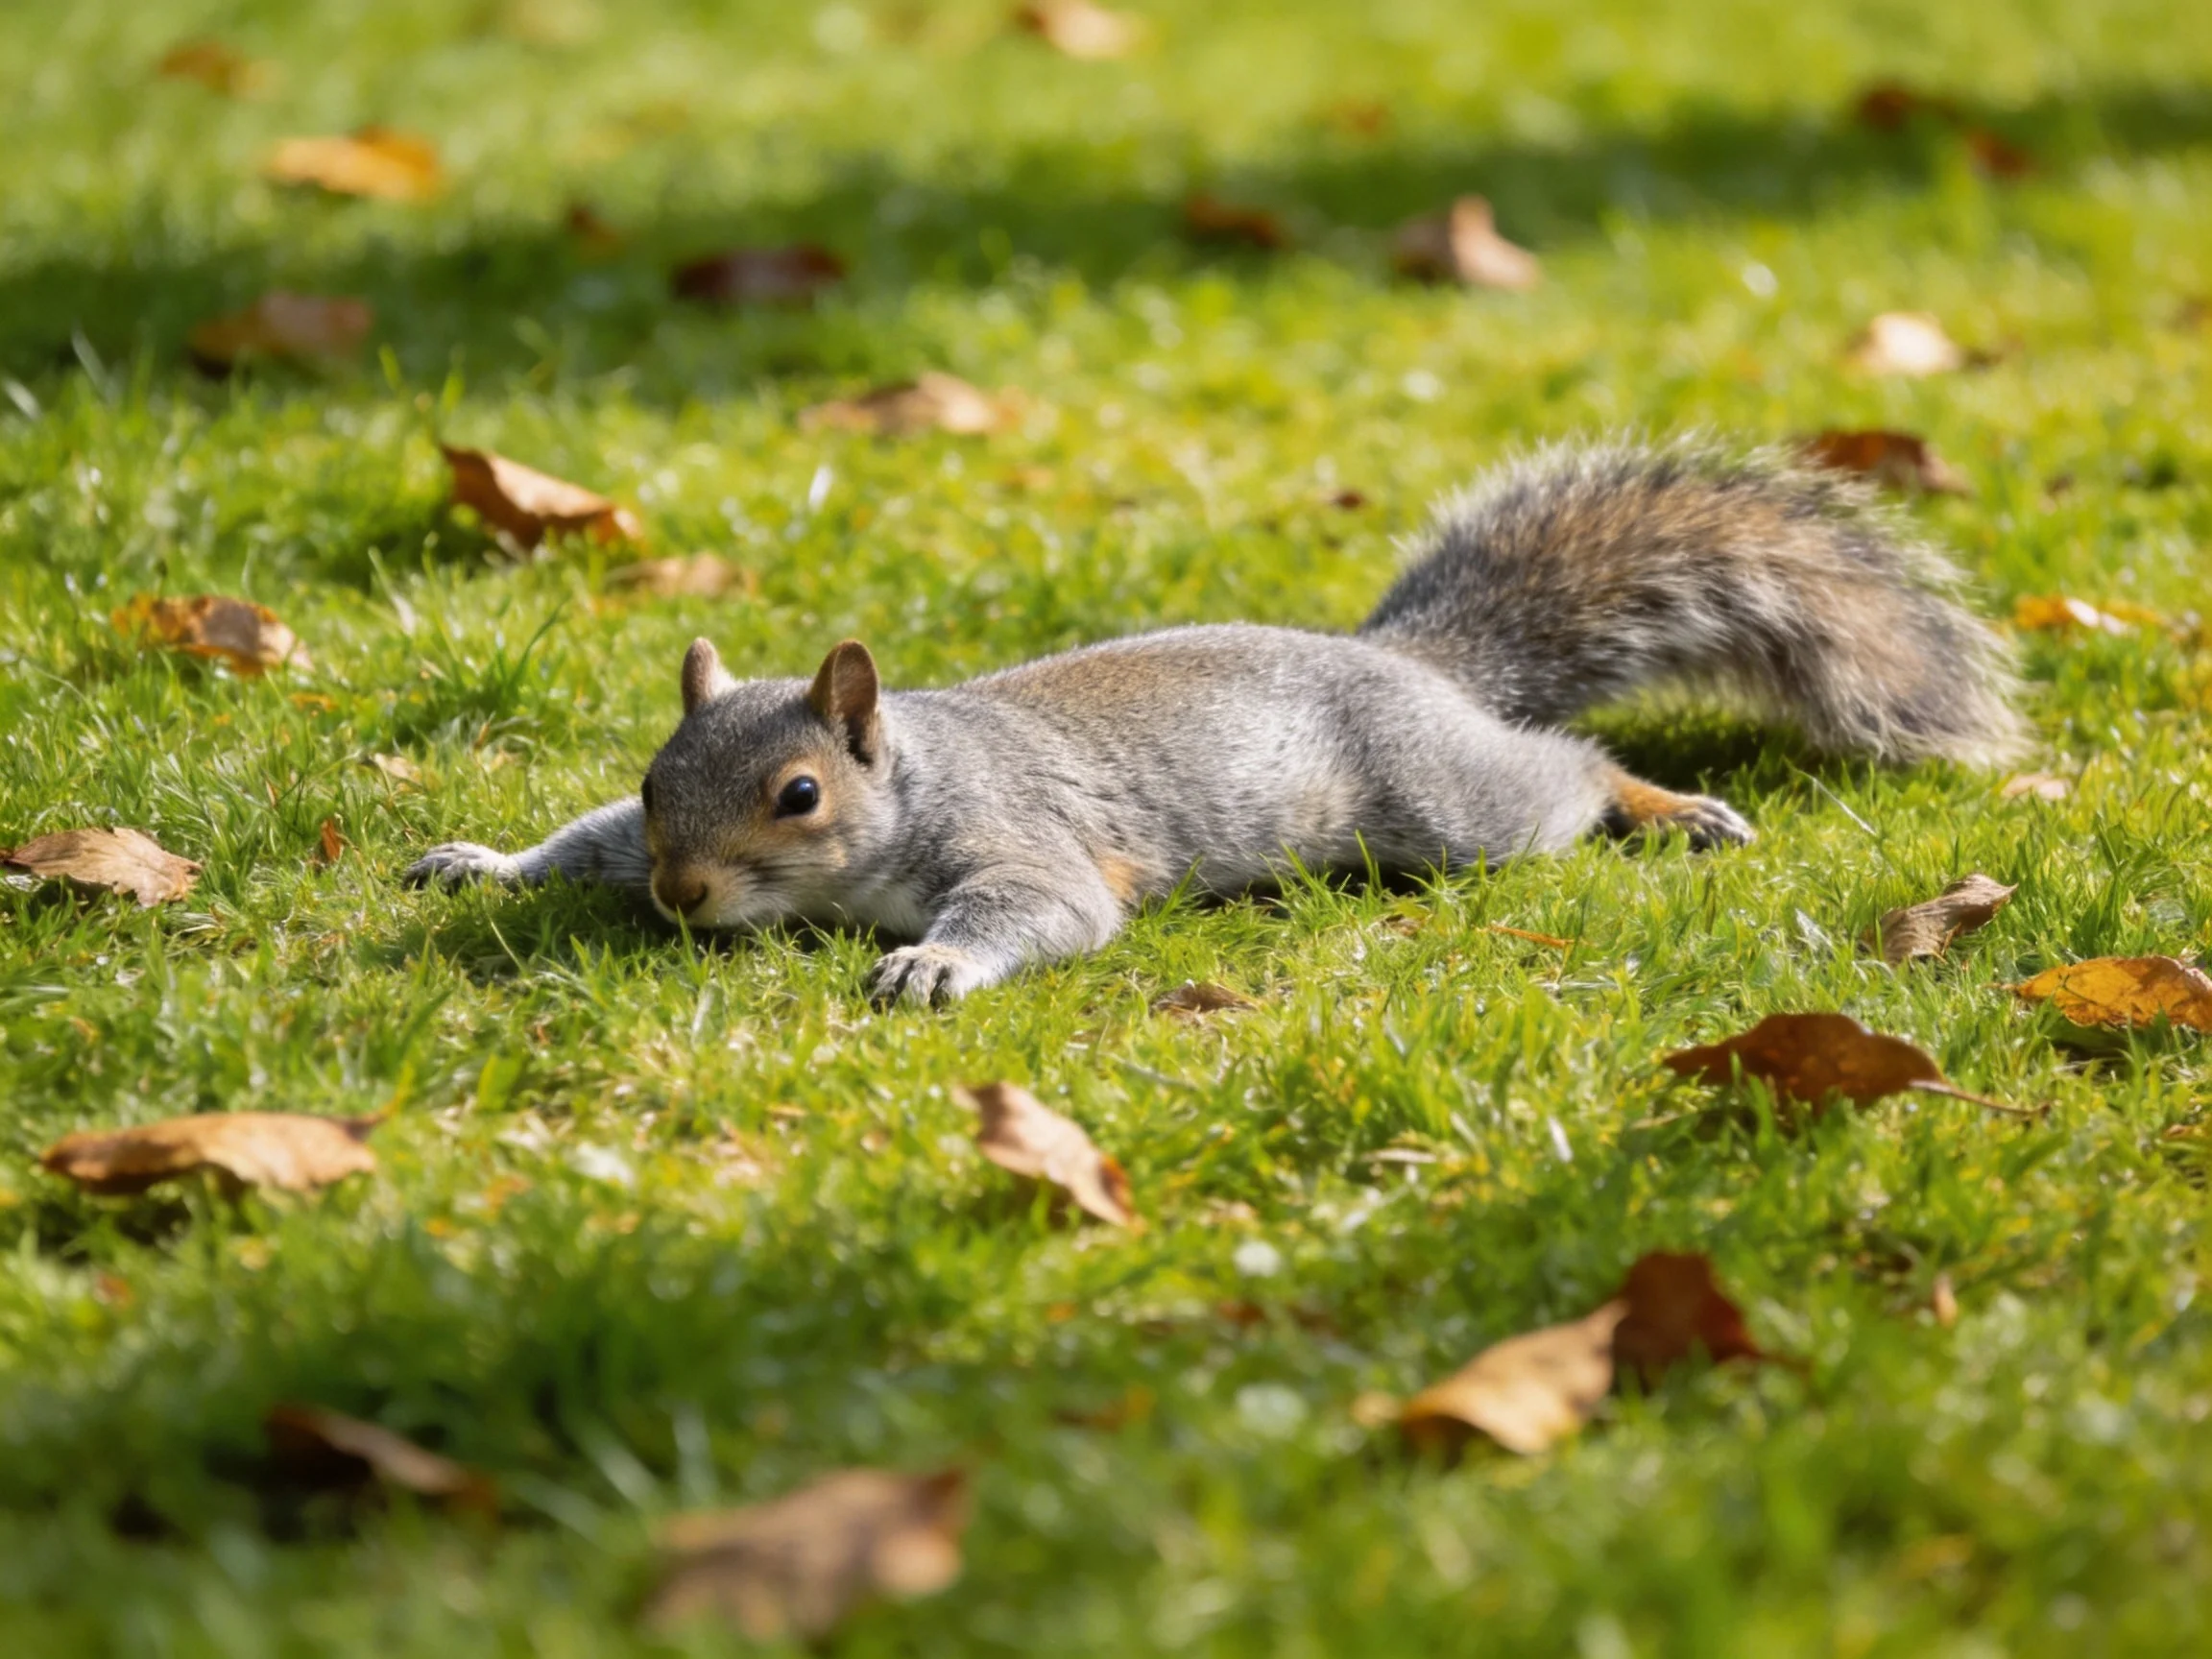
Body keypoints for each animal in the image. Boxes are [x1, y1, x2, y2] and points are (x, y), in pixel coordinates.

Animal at [405, 436, 2023, 1005]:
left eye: (800, 796)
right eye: (651, 781)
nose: (680, 896)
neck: (909, 781)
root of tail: (1409, 666)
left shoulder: (1027, 843)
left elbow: (1036, 910)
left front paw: (932, 965)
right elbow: (569, 848)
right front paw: (481, 863)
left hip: (1444, 808)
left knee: (1565, 772)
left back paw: (1665, 807)